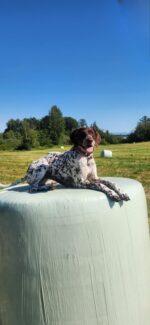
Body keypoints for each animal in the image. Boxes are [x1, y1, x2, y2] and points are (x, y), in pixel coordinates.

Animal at [0, 127, 129, 201]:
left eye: (91, 133)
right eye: (82, 134)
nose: (90, 140)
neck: (86, 158)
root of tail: (27, 172)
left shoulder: (94, 178)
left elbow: (111, 183)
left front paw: (122, 192)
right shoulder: (81, 182)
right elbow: (102, 185)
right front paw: (113, 194)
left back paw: (49, 184)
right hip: (43, 165)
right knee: (32, 188)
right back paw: (46, 187)